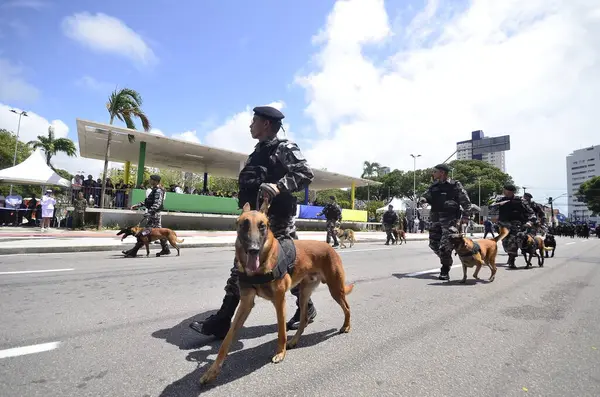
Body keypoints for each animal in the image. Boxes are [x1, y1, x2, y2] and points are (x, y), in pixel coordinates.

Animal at [199, 201, 354, 384]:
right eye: (243, 225)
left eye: (262, 226)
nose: (253, 250)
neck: (260, 267)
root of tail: (329, 246)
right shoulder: (245, 304)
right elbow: (226, 340)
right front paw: (212, 370)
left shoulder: (279, 300)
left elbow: (281, 331)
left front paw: (280, 353)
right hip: (304, 293)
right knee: (304, 319)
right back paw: (294, 341)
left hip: (335, 289)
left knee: (347, 308)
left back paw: (346, 326)